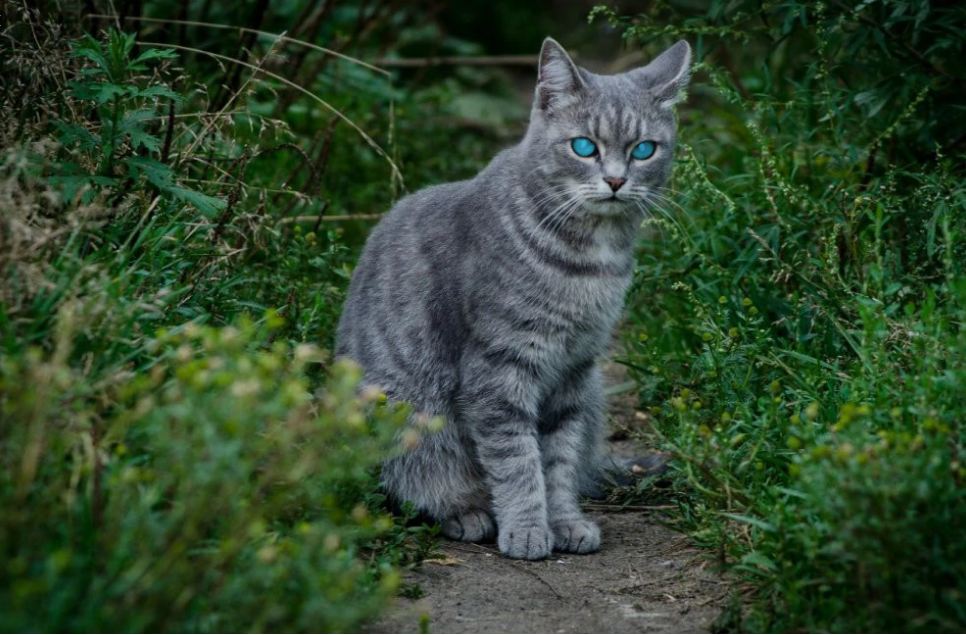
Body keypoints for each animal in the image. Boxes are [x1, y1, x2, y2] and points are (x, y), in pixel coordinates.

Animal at [336, 37, 692, 560]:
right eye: (584, 147)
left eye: (644, 150)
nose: (615, 181)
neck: (593, 262)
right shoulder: (498, 369)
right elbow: (517, 461)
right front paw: (526, 528)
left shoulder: (574, 371)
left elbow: (559, 460)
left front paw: (563, 522)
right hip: (402, 412)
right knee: (417, 486)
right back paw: (466, 514)